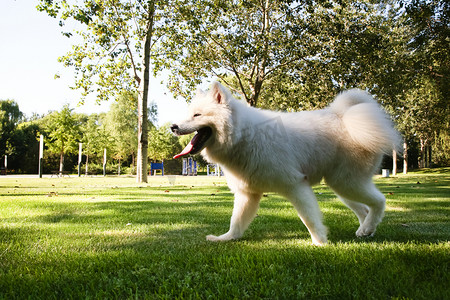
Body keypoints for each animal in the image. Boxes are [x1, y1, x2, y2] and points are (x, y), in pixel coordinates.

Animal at [171, 82, 400, 246]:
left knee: (379, 202)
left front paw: (320, 242)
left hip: (347, 183)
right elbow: (236, 222)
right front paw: (226, 238)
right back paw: (366, 231)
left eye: (197, 115)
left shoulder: (295, 185)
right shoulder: (248, 194)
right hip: (341, 186)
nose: (173, 126)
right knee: (364, 209)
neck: (243, 135)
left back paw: (367, 228)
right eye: (188, 114)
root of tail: (345, 117)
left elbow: (309, 218)